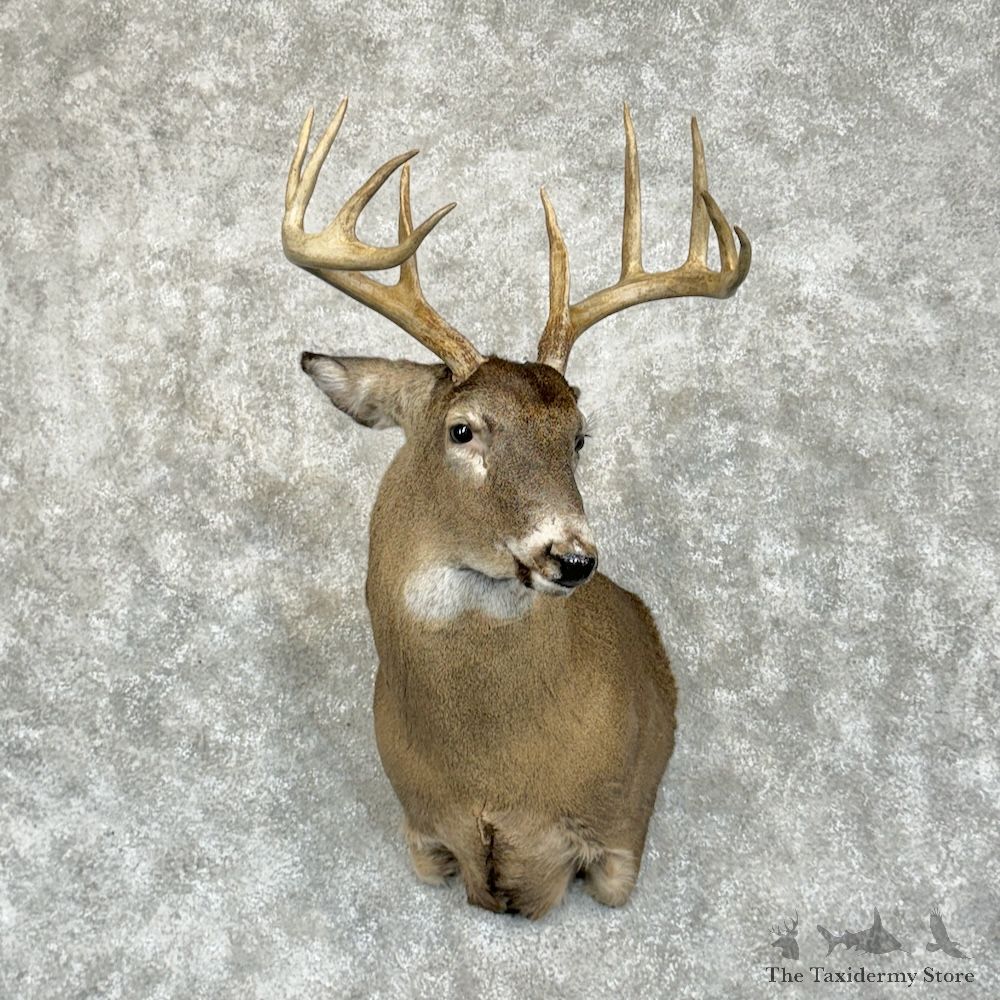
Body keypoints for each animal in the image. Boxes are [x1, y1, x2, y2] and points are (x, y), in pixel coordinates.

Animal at [283, 98, 750, 919]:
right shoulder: (421, 836)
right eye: (462, 429)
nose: (573, 557)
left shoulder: (621, 834)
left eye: (579, 436)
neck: (492, 777)